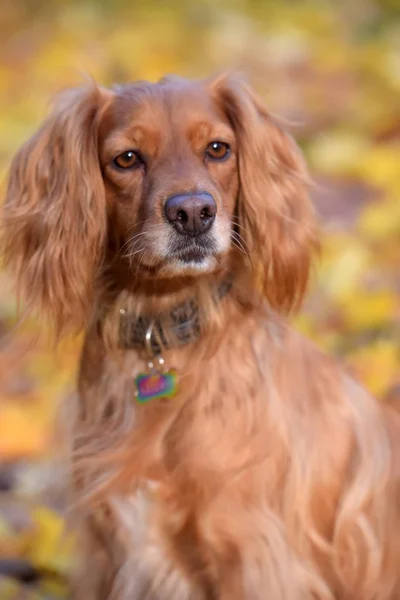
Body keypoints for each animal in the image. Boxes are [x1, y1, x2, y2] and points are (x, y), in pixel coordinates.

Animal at [1, 75, 398, 600]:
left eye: (217, 148)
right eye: (126, 158)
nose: (193, 212)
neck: (162, 334)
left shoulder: (253, 557)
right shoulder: (108, 555)